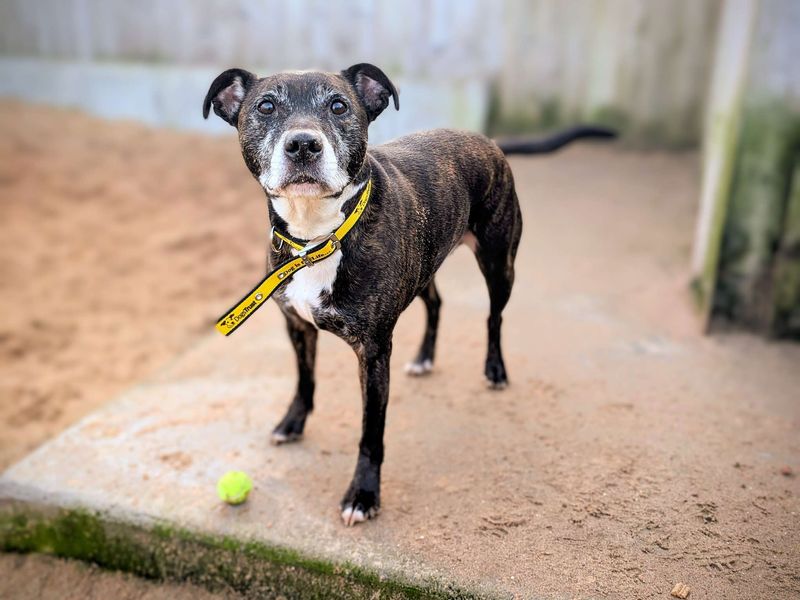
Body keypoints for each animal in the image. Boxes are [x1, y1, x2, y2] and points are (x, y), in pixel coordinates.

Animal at [203, 63, 616, 528]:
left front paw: (363, 495)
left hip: (499, 263)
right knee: (436, 303)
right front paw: (292, 424)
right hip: (423, 265)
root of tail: (484, 139)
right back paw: (424, 358)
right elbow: (305, 380)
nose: (303, 144)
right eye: (266, 106)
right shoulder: (297, 325)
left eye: (339, 106)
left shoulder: (373, 352)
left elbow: (371, 433)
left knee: (494, 317)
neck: (317, 239)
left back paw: (494, 369)